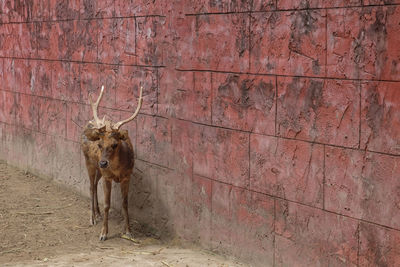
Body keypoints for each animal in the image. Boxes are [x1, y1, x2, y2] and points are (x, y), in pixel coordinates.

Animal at [81, 85, 142, 242]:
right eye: (100, 144)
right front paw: (103, 234)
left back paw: (97, 214)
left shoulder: (127, 176)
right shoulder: (107, 177)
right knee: (91, 186)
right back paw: (92, 218)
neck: (117, 170)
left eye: (115, 144)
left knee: (95, 184)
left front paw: (128, 231)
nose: (103, 162)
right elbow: (107, 204)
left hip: (98, 170)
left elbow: (125, 204)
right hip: (88, 162)